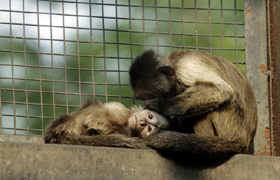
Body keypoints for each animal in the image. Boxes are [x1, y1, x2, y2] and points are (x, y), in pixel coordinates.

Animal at [130, 50, 258, 158]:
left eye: (148, 96)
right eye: (141, 98)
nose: (145, 104)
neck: (174, 62)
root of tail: (244, 140)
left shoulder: (185, 67)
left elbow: (221, 90)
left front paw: (163, 105)